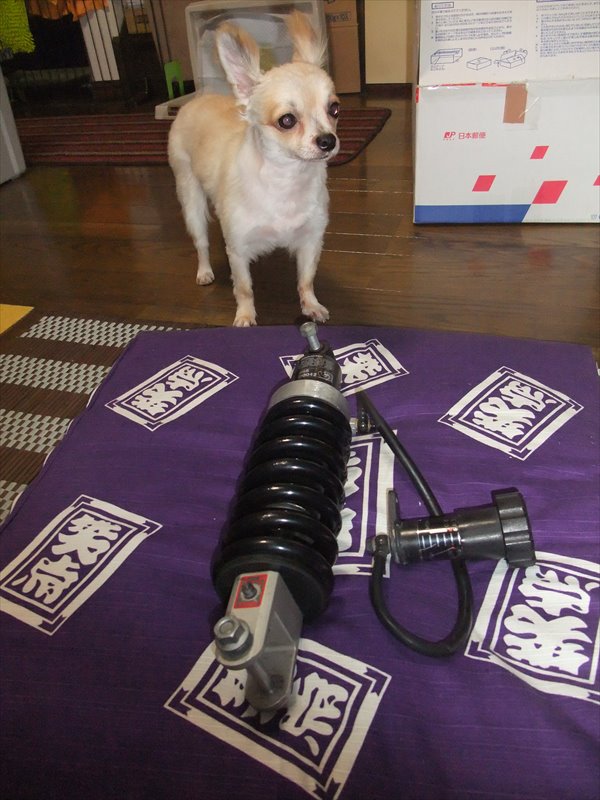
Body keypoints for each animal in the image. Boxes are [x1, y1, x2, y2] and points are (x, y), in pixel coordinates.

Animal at [168, 11, 340, 327]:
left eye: (334, 109)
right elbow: (244, 287)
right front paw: (246, 316)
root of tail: (198, 99)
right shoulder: (237, 248)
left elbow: (306, 280)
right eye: (287, 120)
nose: (328, 140)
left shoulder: (311, 240)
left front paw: (311, 306)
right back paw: (204, 271)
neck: (287, 180)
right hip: (190, 198)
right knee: (201, 242)